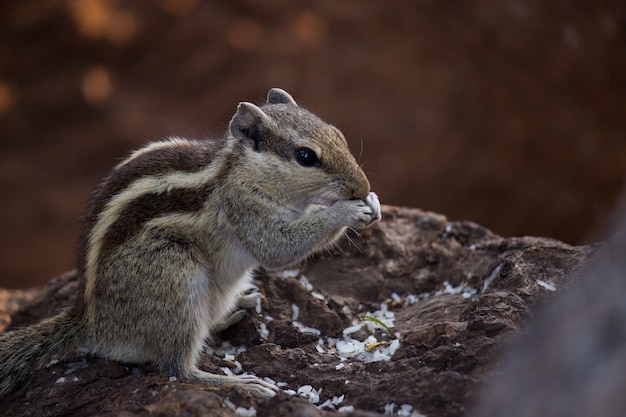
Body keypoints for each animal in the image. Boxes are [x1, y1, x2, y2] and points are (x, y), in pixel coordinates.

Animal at [0, 88, 380, 396]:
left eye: (338, 134)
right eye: (305, 156)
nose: (362, 186)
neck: (243, 171)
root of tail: (93, 321)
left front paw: (373, 203)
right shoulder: (244, 209)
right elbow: (277, 249)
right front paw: (346, 211)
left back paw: (237, 309)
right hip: (176, 276)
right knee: (176, 368)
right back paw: (238, 383)